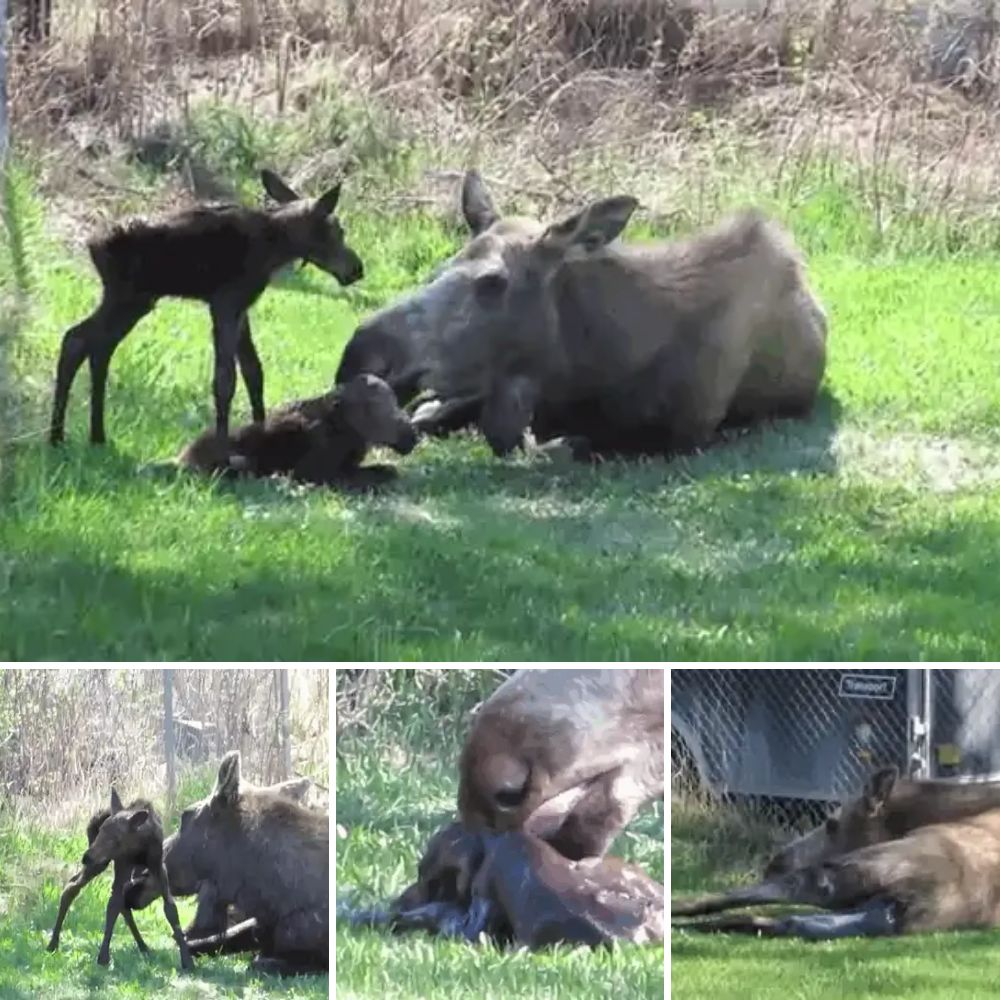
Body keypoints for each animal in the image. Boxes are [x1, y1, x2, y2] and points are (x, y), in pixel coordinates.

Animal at [50, 171, 364, 446]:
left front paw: (260, 432)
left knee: (94, 346)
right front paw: (223, 450)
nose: (357, 268)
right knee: (79, 340)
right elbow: (225, 380)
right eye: (338, 230)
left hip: (134, 302)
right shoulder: (225, 301)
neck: (276, 247)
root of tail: (92, 245)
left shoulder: (241, 306)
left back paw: (91, 435)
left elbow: (254, 372)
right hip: (127, 298)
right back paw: (59, 436)